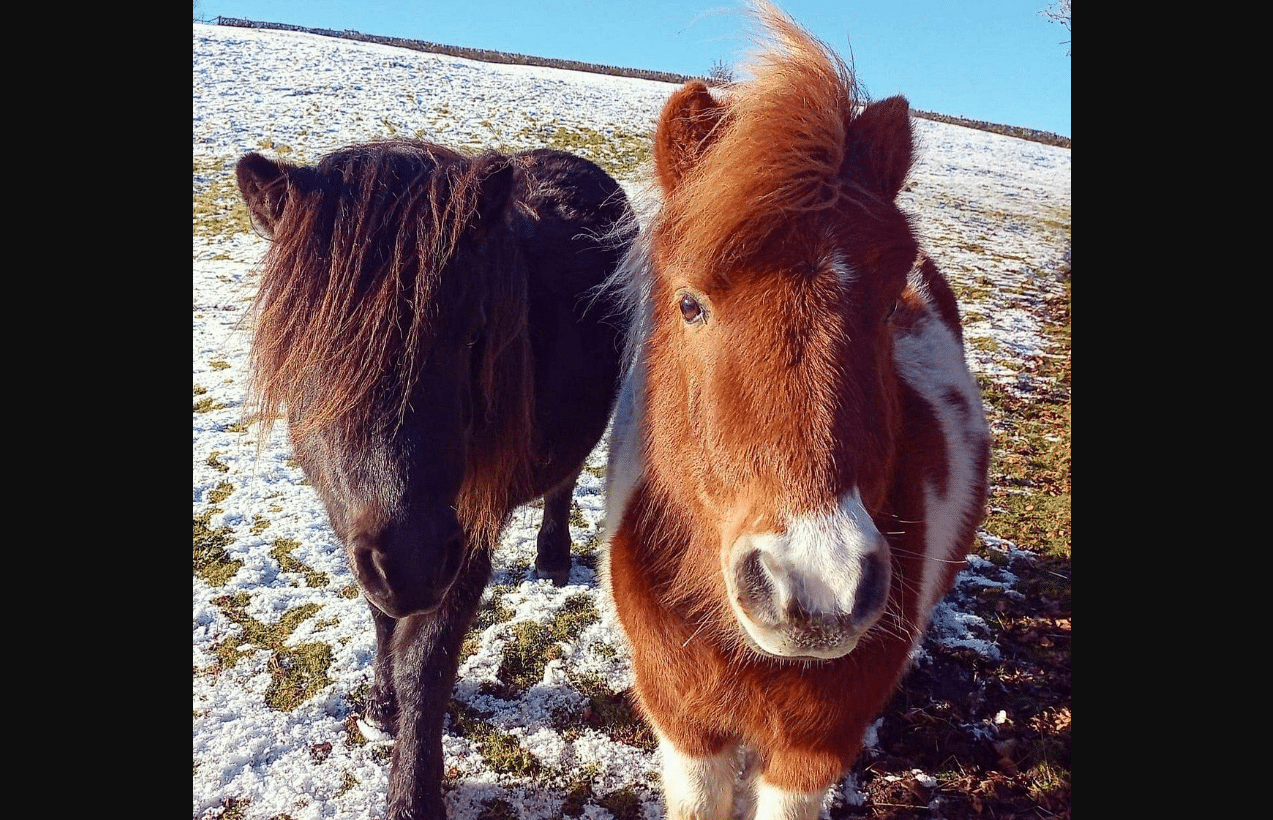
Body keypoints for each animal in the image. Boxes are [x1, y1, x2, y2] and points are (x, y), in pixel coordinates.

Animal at [236, 139, 630, 819]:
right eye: (311, 350)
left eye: (474, 338)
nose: (413, 562)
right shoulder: (363, 535)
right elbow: (382, 620)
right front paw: (381, 709)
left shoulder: (467, 532)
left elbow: (428, 659)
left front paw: (412, 794)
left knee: (563, 482)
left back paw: (552, 560)